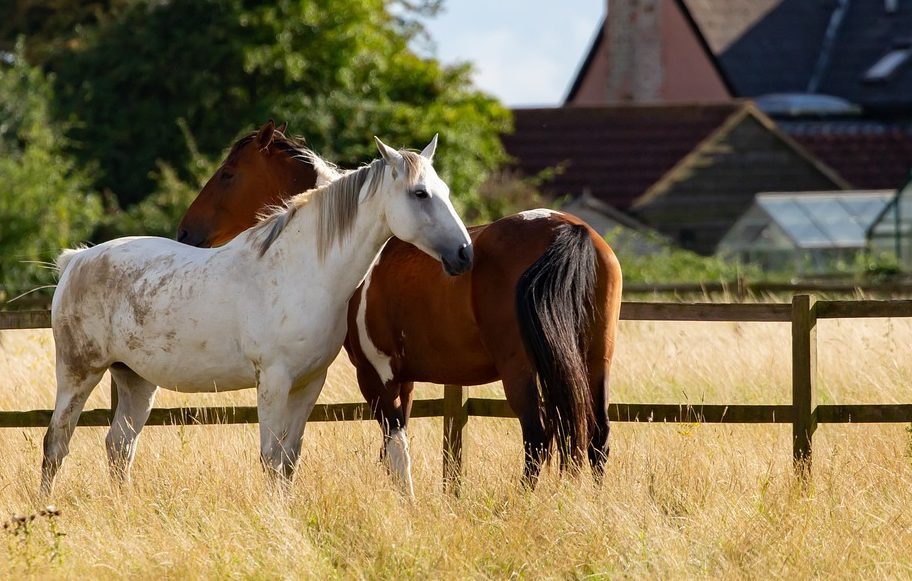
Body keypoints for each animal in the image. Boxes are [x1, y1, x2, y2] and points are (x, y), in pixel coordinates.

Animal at [41, 135, 470, 494]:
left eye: (446, 192)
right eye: (419, 193)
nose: (464, 253)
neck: (303, 271)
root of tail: (76, 260)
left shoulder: (309, 383)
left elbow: (290, 460)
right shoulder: (274, 381)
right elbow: (270, 458)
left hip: (135, 381)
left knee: (119, 446)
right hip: (78, 373)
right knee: (56, 443)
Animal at [175, 120, 624, 492]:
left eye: (228, 174)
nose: (185, 231)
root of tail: (570, 228)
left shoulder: (375, 376)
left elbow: (395, 449)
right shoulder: (403, 379)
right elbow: (394, 452)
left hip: (521, 369)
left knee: (537, 437)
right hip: (594, 360)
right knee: (596, 437)